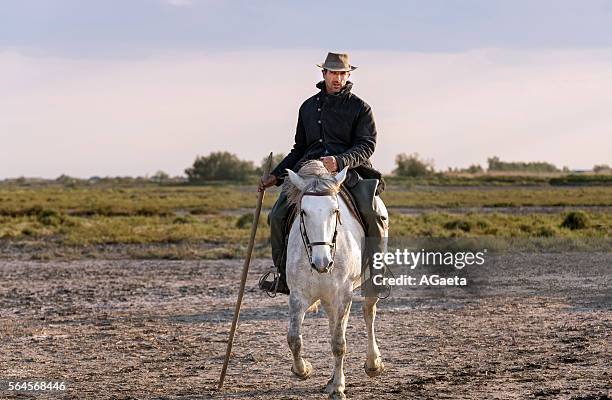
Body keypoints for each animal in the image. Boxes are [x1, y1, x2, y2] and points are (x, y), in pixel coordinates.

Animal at [284, 161, 388, 398]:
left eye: (335, 211)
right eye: (303, 212)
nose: (322, 262)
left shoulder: (343, 294)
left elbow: (339, 343)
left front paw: (339, 388)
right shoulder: (298, 296)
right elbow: (294, 339)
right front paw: (303, 370)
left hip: (364, 285)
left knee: (368, 313)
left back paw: (372, 364)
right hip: (328, 297)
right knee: (333, 324)